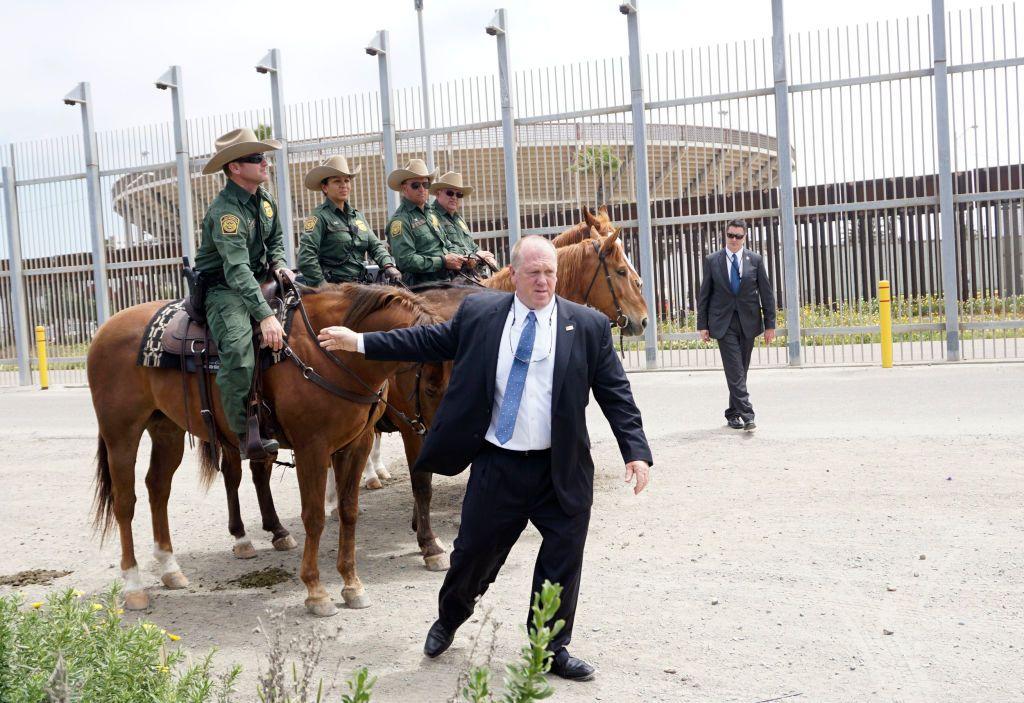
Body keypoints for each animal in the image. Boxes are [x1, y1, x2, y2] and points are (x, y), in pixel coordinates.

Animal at [89, 282, 440, 613]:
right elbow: (314, 516)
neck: (328, 354)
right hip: (121, 434)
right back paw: (134, 585)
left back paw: (169, 568)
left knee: (158, 488)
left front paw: (352, 585)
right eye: (431, 386)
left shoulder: (357, 445)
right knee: (125, 502)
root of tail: (105, 328)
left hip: (167, 429)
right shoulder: (312, 448)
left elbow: (348, 512)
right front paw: (316, 591)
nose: (437, 438)